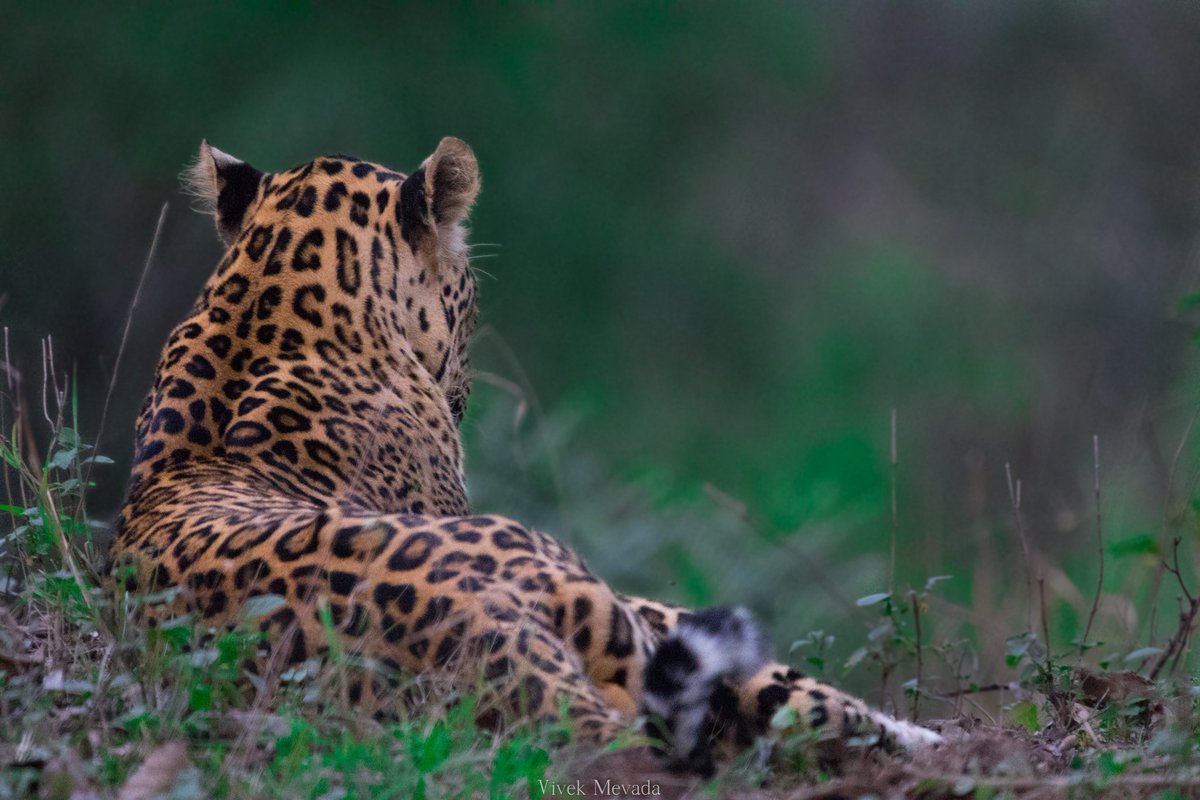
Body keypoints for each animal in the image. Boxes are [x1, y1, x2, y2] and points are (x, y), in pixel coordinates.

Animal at [110, 137, 936, 777]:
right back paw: (924, 739)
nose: (468, 390)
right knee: (807, 712)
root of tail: (477, 631)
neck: (259, 314)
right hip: (612, 606)